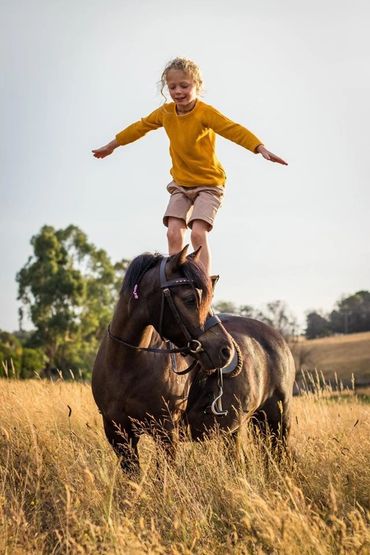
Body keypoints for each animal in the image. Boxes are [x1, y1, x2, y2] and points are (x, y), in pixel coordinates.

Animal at [92, 249, 294, 474]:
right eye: (190, 299)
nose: (226, 351)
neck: (127, 365)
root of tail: (278, 339)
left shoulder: (165, 432)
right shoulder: (117, 433)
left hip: (277, 421)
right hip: (239, 427)